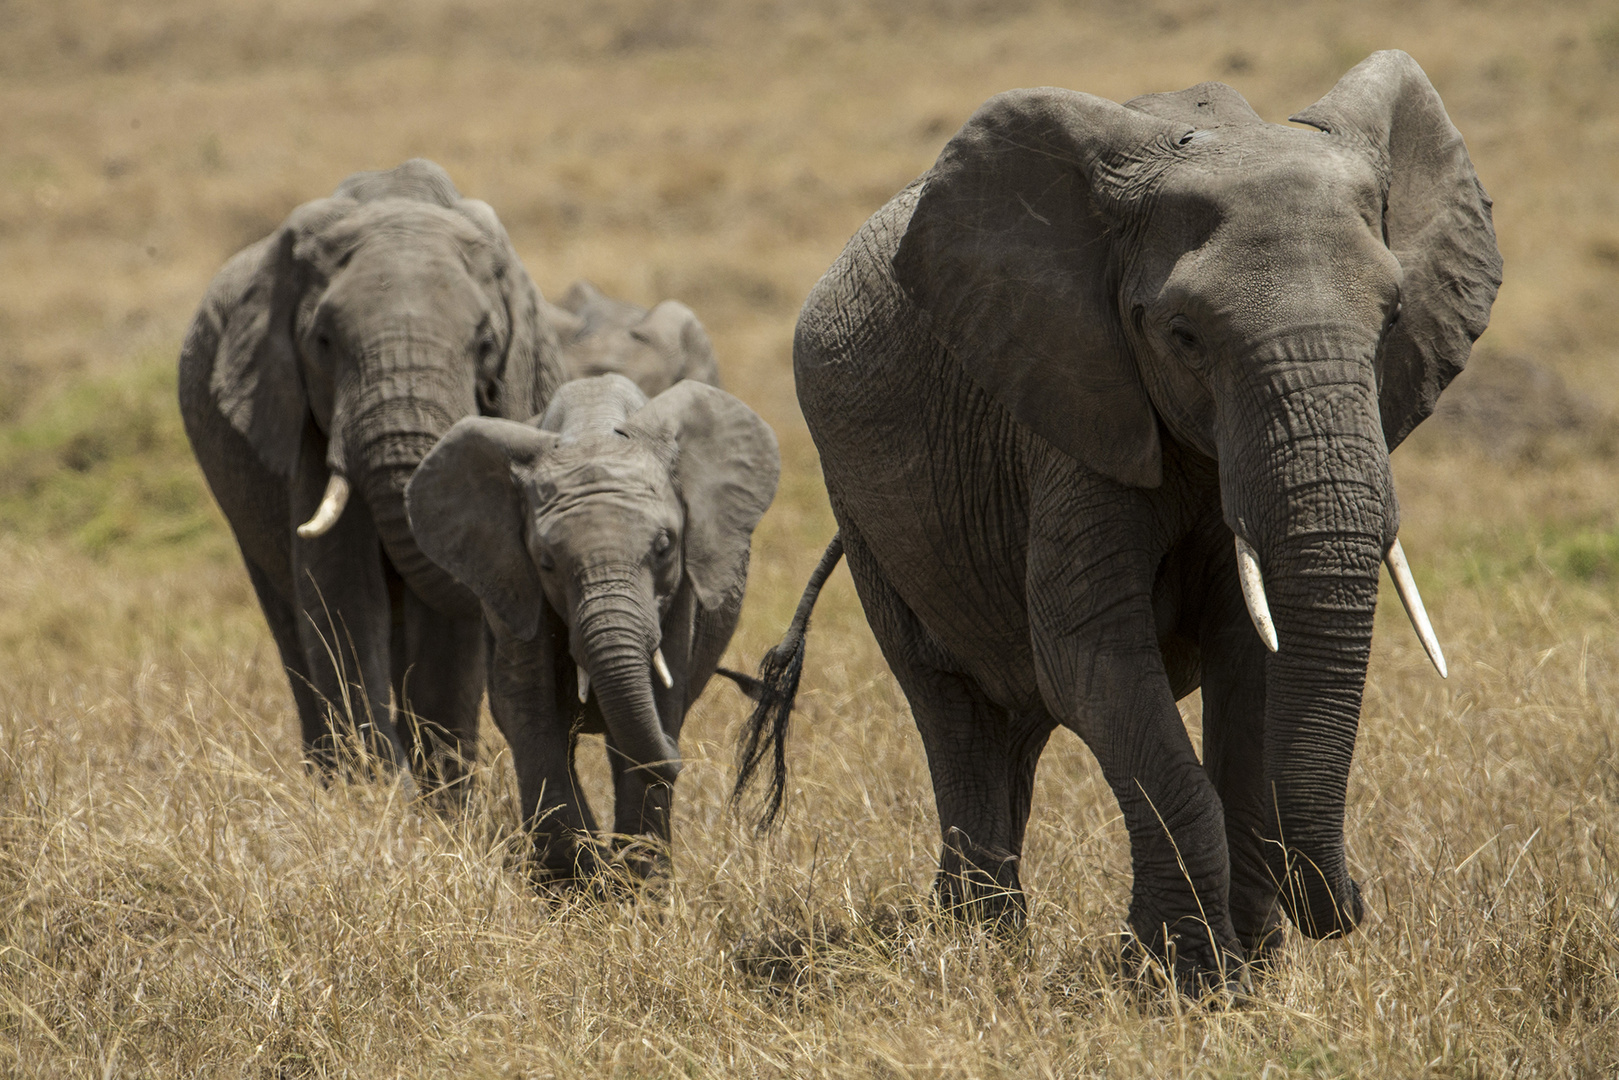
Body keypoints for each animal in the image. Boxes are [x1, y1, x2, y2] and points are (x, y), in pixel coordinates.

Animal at [178, 158, 566, 786]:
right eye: (323, 342)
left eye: (486, 344)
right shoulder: (300, 420)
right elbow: (340, 590)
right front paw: (375, 790)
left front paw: (437, 797)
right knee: (288, 619)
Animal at [407, 375, 780, 880]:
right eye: (546, 562)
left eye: (665, 546)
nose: (681, 760)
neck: (593, 427)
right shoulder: (509, 578)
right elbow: (528, 705)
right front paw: (574, 881)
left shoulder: (681, 590)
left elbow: (659, 700)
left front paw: (636, 887)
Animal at [735, 52, 1502, 997]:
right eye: (1182, 335)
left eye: (1392, 317)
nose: (1351, 904)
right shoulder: (1066, 408)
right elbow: (1091, 658)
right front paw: (1191, 979)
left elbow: (1249, 660)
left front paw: (1250, 970)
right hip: (860, 495)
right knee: (954, 707)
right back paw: (979, 946)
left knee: (1014, 727)